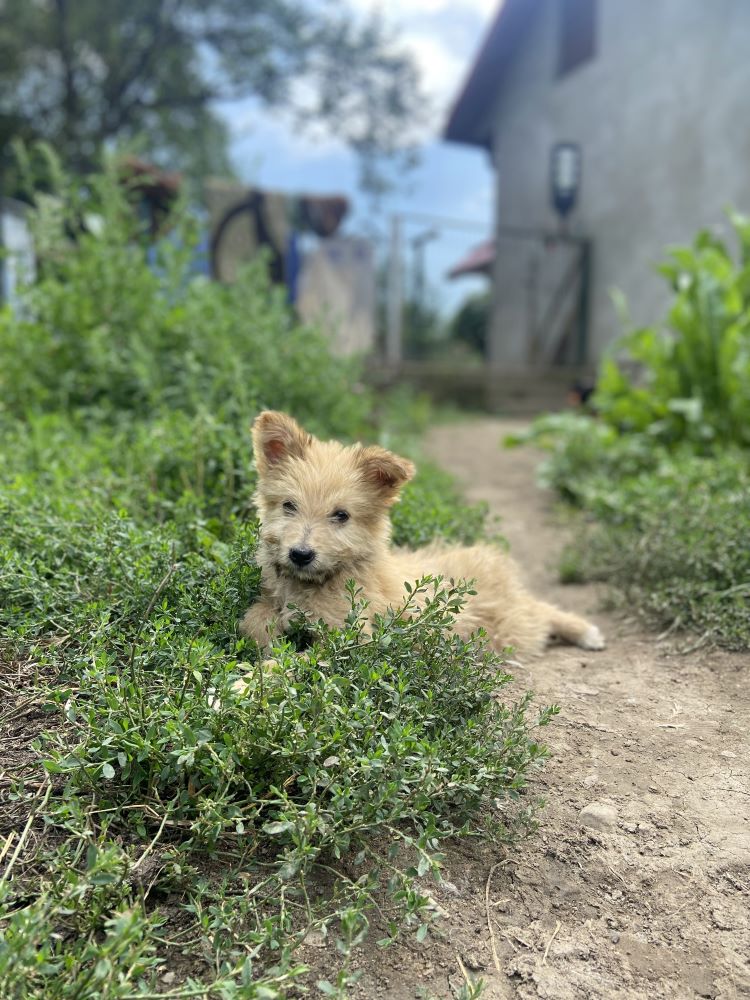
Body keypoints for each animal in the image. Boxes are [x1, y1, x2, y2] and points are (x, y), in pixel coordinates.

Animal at [241, 410, 604, 660]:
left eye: (341, 515)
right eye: (289, 506)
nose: (300, 554)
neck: (317, 582)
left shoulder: (350, 638)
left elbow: (293, 664)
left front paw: (247, 683)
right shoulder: (271, 599)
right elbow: (252, 619)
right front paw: (268, 641)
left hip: (510, 624)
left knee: (540, 611)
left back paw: (585, 631)